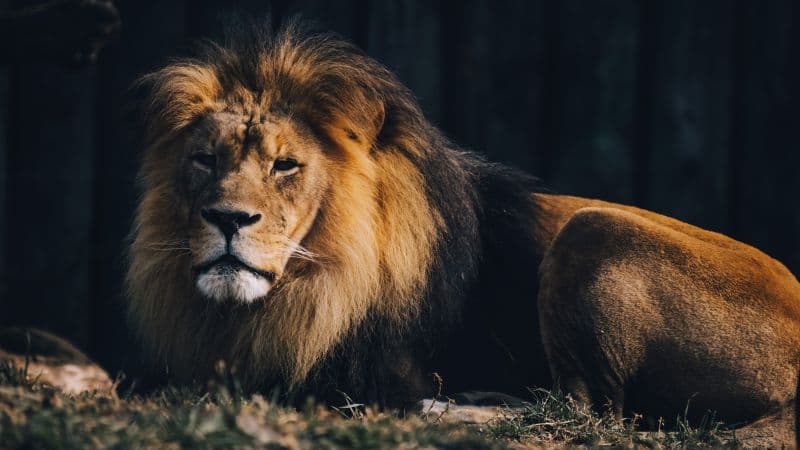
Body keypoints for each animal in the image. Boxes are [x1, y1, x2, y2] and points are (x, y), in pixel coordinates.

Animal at [126, 19, 800, 443]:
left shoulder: (363, 372)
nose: (228, 219)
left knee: (587, 414)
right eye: (204, 160)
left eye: (285, 165)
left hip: (593, 229)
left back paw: (450, 411)